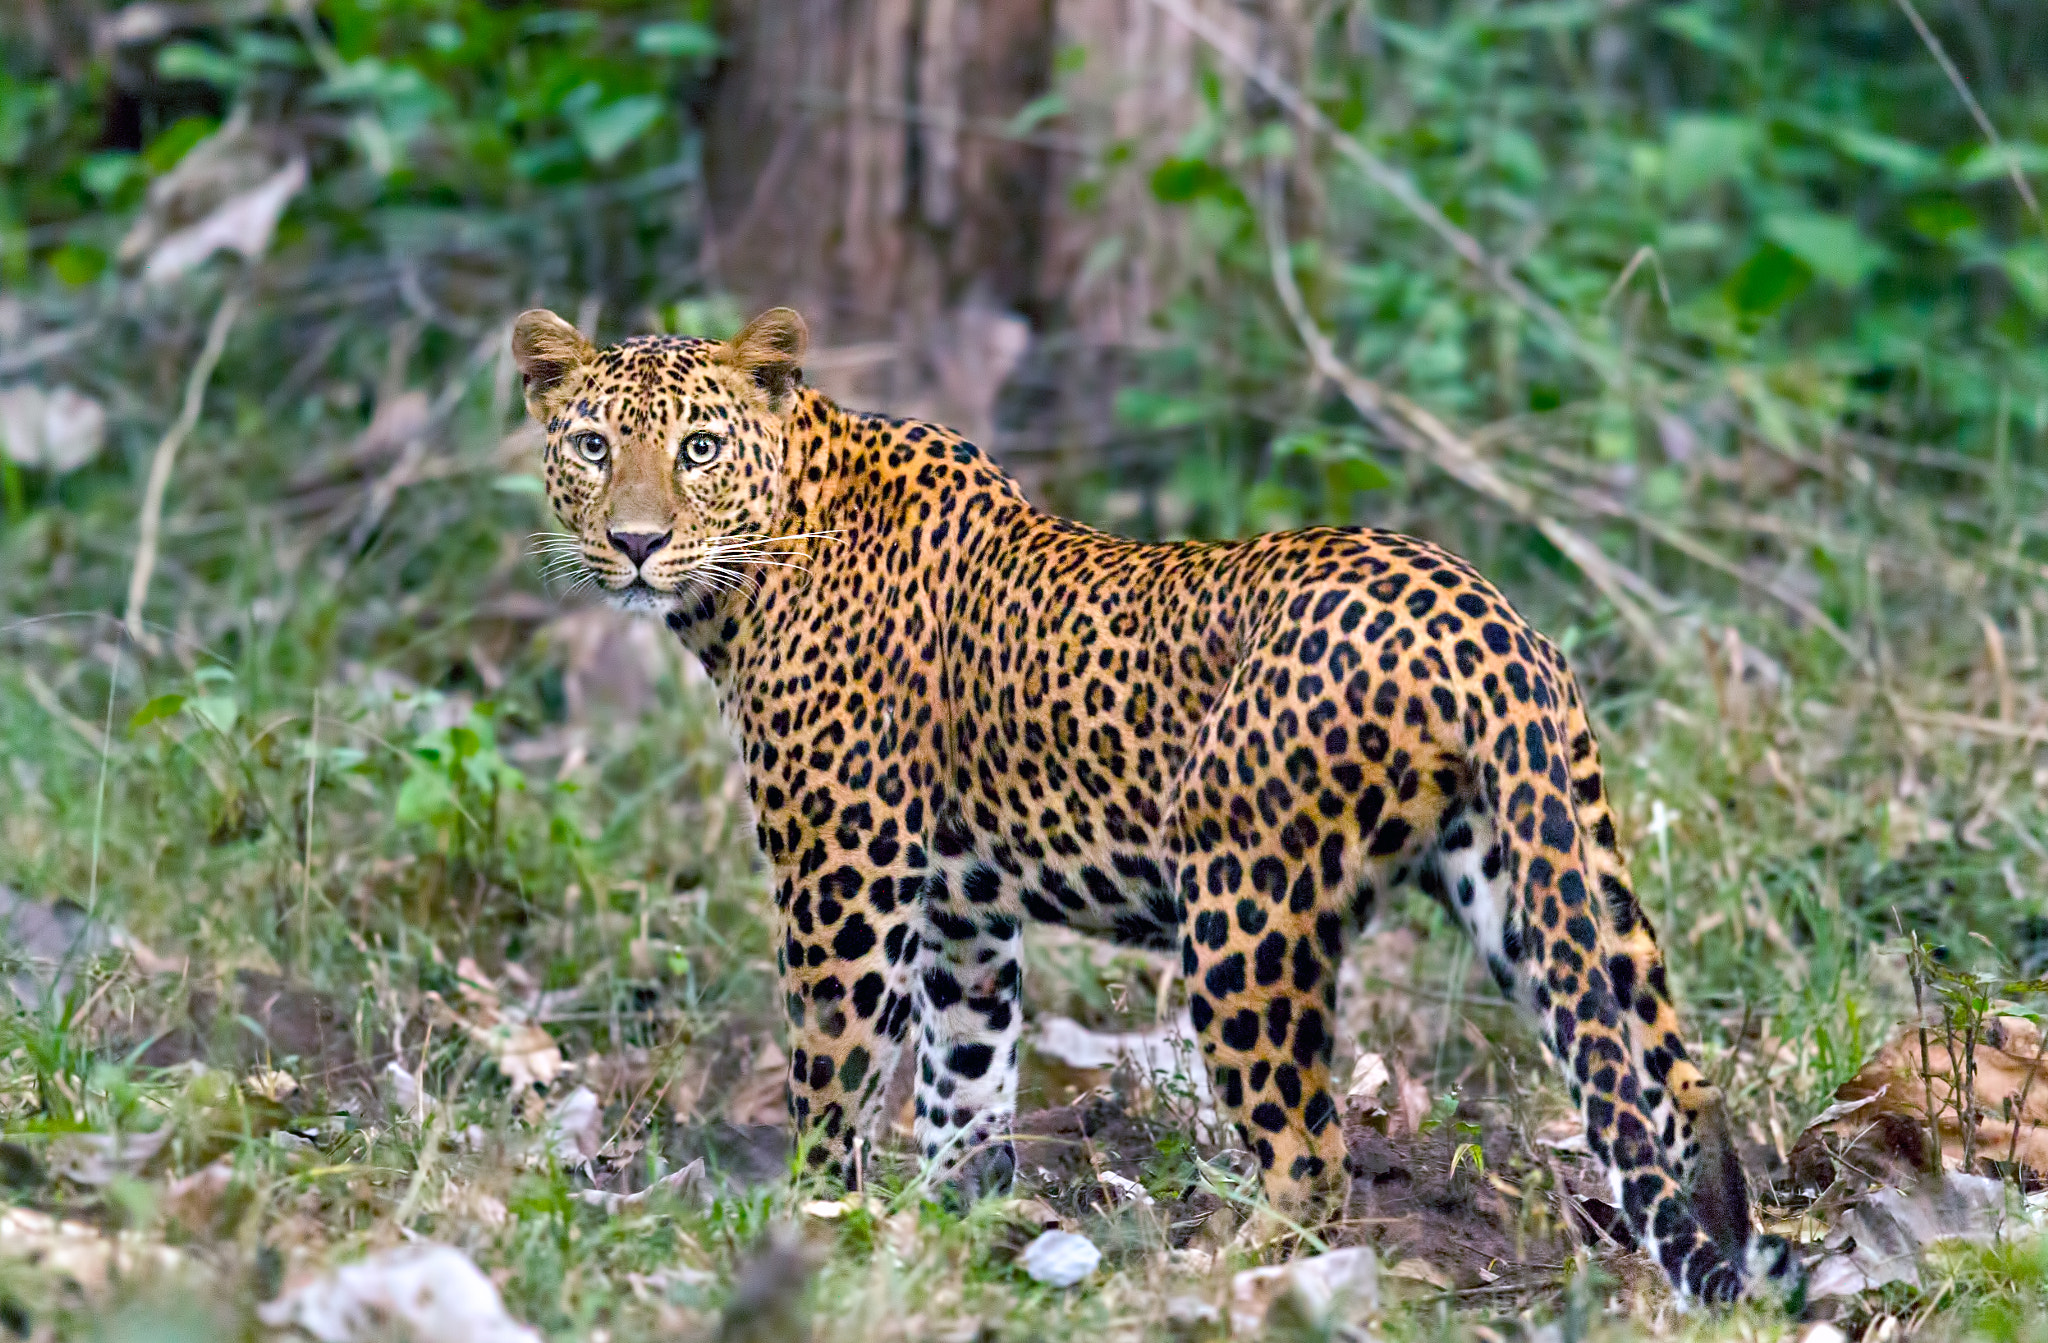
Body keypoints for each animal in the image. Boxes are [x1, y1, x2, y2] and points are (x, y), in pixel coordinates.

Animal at [507, 305, 1794, 1302]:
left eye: (699, 447)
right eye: (592, 444)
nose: (635, 541)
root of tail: (1484, 621)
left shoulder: (845, 875)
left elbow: (831, 1069)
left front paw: (817, 1226)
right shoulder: (964, 910)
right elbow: (965, 1078)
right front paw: (954, 1230)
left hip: (1243, 910)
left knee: (1309, 1147)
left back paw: (1224, 1273)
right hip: (1543, 870)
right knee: (1667, 1073)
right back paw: (1720, 1249)